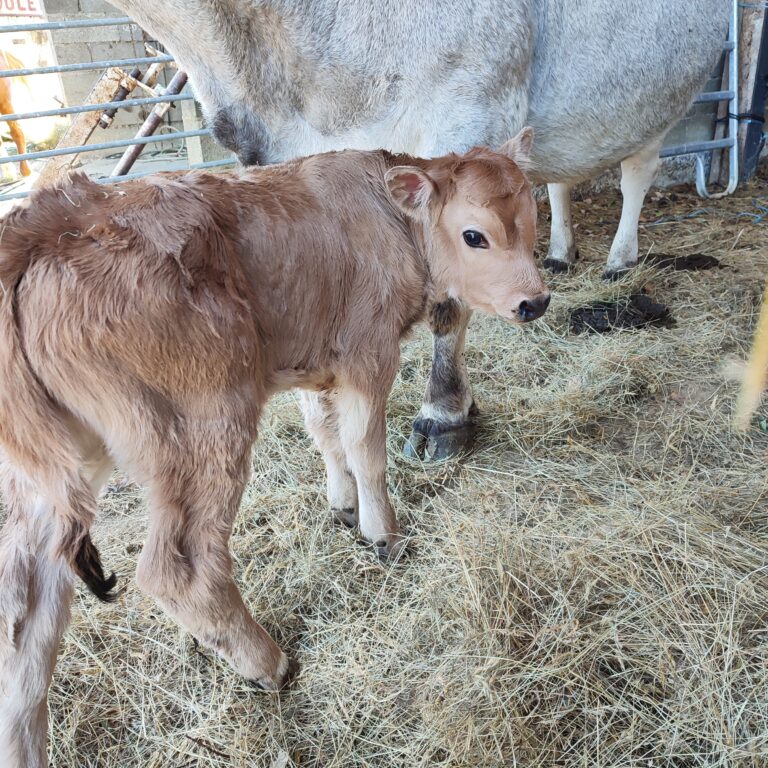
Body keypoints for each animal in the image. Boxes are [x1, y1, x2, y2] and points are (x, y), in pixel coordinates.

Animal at [0, 129, 548, 764]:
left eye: (533, 218)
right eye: (473, 234)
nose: (535, 302)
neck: (389, 217)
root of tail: (36, 233)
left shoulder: (317, 364)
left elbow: (326, 435)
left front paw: (342, 506)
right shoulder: (367, 353)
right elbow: (366, 448)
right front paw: (382, 533)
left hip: (53, 474)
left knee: (23, 613)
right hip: (202, 427)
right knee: (177, 567)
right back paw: (270, 664)